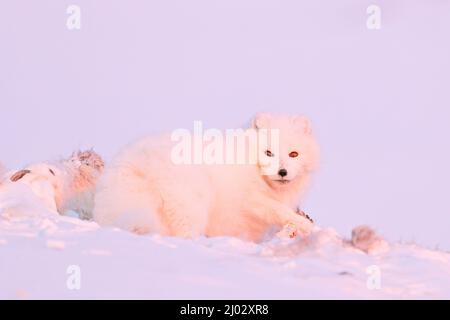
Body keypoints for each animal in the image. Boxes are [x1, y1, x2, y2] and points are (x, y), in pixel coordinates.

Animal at [94, 114, 320, 241]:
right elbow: (278, 210)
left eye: (294, 154)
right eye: (268, 153)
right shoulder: (249, 199)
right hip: (192, 204)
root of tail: (140, 161)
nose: (282, 172)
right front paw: (305, 226)